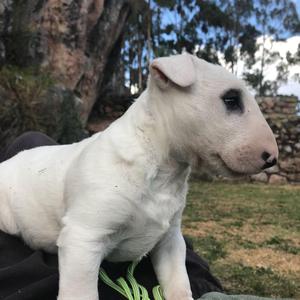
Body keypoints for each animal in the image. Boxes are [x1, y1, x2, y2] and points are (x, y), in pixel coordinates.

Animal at [0, 54, 278, 300]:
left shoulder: (170, 240)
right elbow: (81, 293)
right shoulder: (83, 237)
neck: (160, 167)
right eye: (231, 99)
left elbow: (179, 282)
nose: (272, 159)